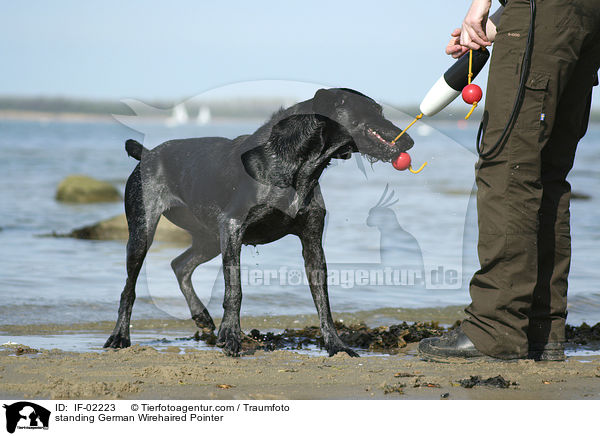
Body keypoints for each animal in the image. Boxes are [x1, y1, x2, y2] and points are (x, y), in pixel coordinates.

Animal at [104, 88, 412, 358]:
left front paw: (336, 345)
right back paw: (120, 337)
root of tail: (147, 153)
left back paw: (201, 315)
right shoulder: (232, 227)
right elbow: (234, 290)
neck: (298, 164)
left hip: (209, 238)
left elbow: (322, 300)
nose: (409, 141)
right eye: (374, 110)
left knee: (180, 264)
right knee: (129, 289)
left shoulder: (312, 241)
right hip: (144, 230)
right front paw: (230, 336)